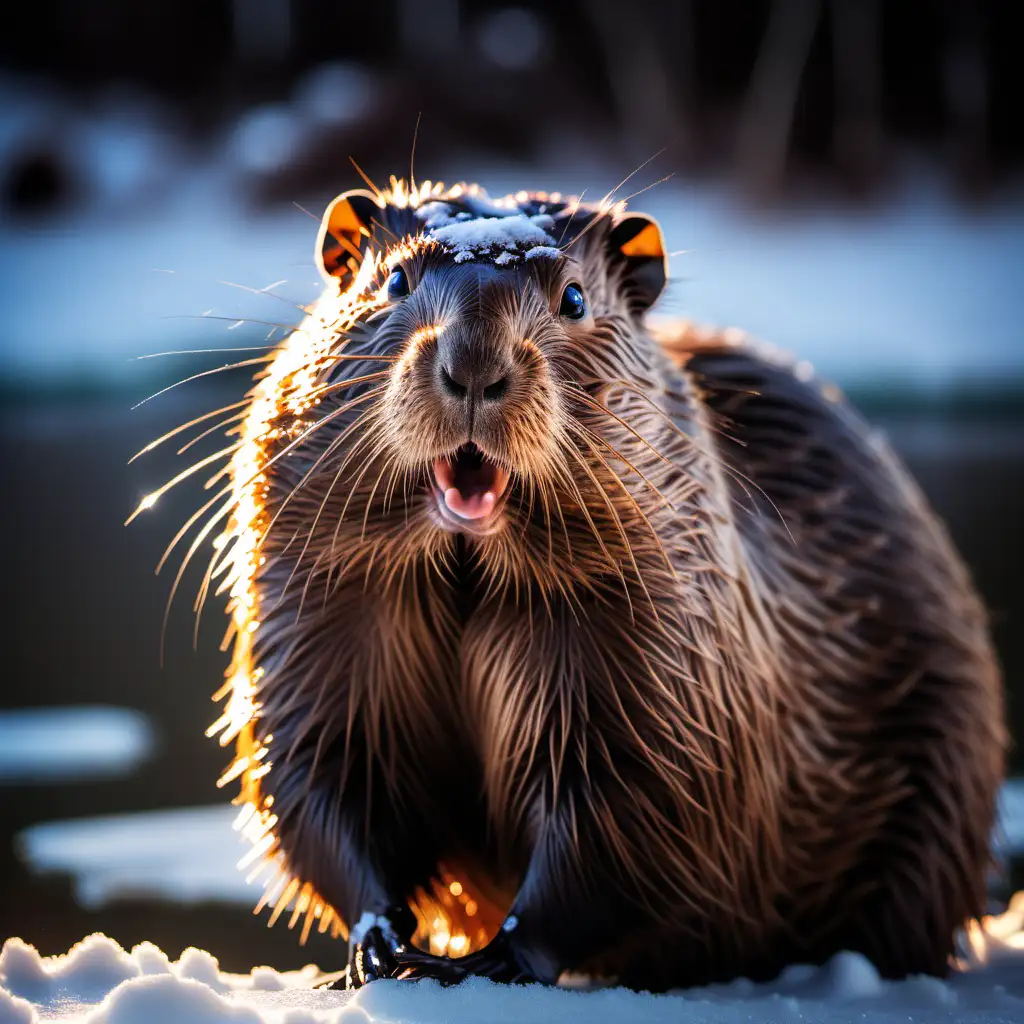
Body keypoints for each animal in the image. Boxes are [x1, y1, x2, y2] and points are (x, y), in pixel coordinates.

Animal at [144, 178, 1007, 991]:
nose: (474, 366)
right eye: (392, 281)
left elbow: (630, 813)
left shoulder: (660, 641)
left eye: (574, 297)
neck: (468, 575)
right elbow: (325, 774)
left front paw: (480, 961)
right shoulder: (319, 611)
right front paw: (380, 945)